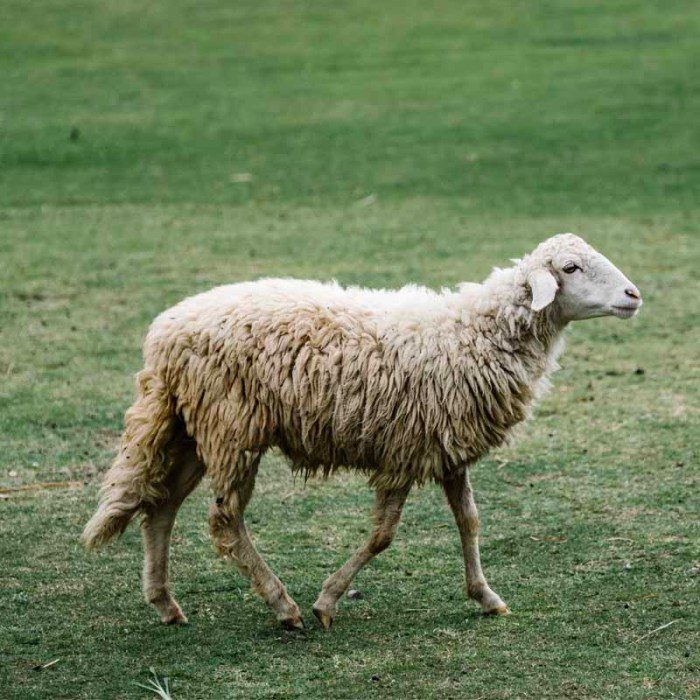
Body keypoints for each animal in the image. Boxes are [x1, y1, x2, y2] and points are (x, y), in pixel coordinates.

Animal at [80, 234, 640, 628]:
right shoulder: (403, 452)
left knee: (161, 507)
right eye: (570, 268)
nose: (634, 294)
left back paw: (165, 603)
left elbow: (470, 522)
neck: (474, 333)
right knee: (223, 521)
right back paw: (283, 606)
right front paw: (327, 601)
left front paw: (486, 596)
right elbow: (382, 535)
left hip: (195, 428)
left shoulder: (446, 447)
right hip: (232, 427)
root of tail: (163, 333)